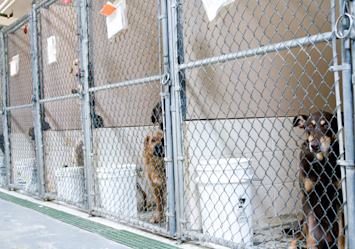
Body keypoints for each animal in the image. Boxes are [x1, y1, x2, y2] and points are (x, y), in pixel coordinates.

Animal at [290, 112, 346, 248]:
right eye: (309, 126)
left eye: (326, 125)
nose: (314, 146)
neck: (321, 162)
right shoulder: (308, 197)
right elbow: (311, 236)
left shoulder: (339, 196)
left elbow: (341, 235)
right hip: (302, 223)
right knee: (298, 236)